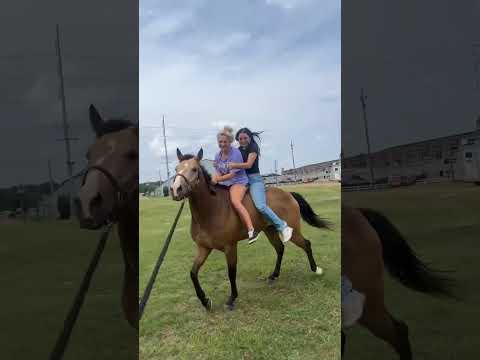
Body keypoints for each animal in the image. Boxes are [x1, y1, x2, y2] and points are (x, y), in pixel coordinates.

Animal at [169, 148, 330, 310]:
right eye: (176, 169)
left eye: (194, 169)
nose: (176, 190)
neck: (211, 210)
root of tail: (288, 194)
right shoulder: (204, 248)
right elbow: (193, 273)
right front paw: (205, 301)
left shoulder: (230, 247)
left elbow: (231, 272)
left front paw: (232, 299)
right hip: (270, 230)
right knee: (280, 248)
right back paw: (274, 275)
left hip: (293, 231)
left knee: (306, 244)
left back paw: (316, 269)